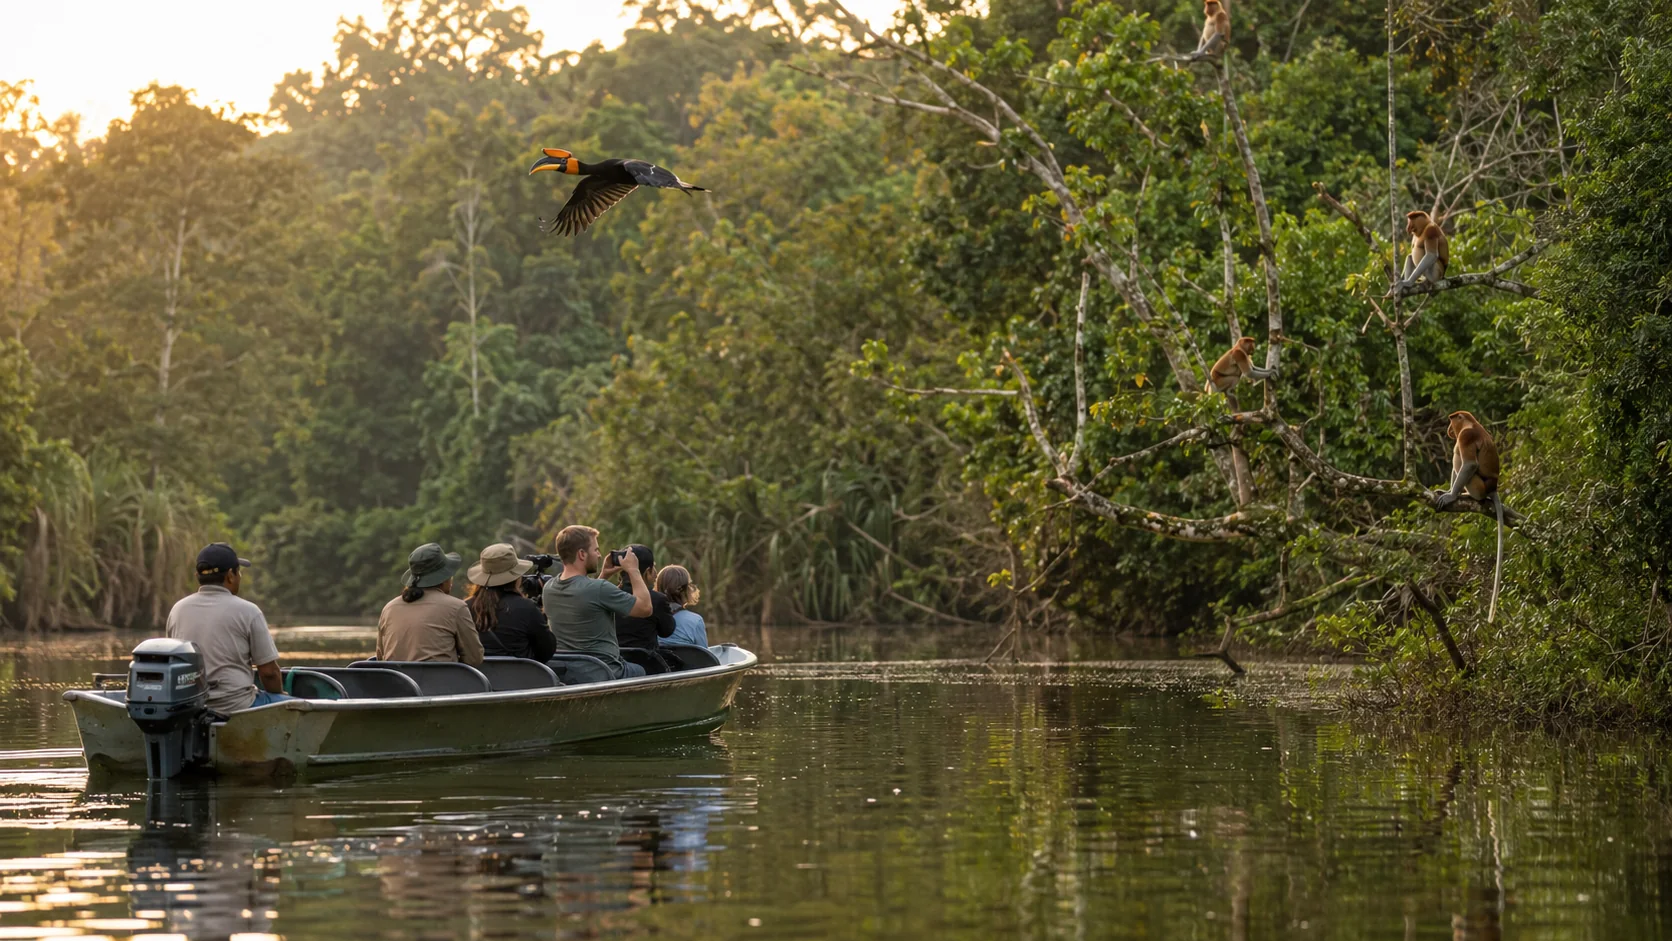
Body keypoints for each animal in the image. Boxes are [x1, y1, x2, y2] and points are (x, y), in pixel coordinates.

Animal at [1433, 410, 1506, 622]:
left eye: (1451, 421)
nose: (1449, 431)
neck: (1471, 424)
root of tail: (1492, 487)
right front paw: (1446, 492)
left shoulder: (1466, 437)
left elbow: (1470, 463)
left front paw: (1450, 496)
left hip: (1477, 485)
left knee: (1461, 460)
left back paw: (1463, 495)